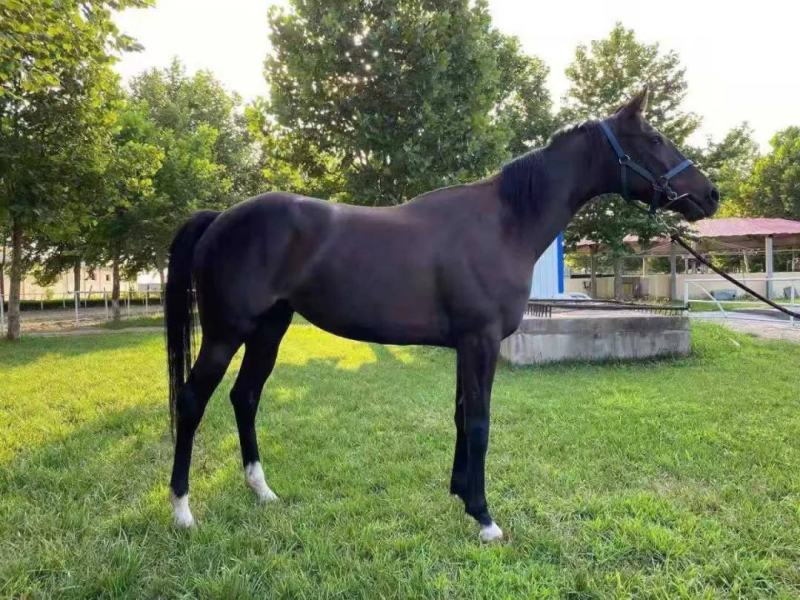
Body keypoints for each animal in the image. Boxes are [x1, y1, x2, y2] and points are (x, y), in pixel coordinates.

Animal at [164, 89, 718, 541]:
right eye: (654, 138)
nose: (710, 195)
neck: (504, 223)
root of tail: (221, 218)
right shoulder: (481, 341)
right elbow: (479, 421)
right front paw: (485, 517)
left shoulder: (466, 346)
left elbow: (460, 416)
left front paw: (460, 494)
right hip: (225, 333)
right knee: (192, 401)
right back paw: (182, 511)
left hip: (269, 330)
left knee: (245, 396)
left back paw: (262, 491)